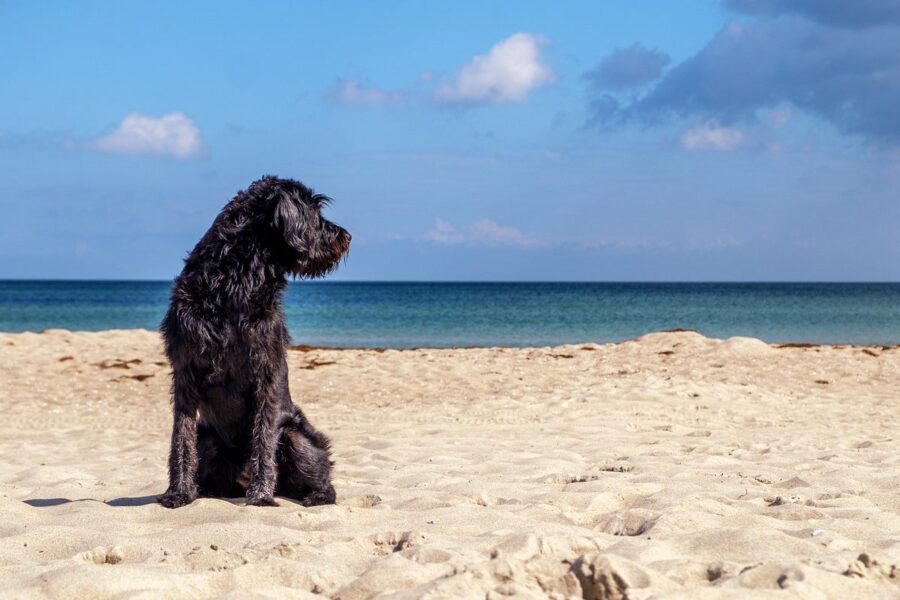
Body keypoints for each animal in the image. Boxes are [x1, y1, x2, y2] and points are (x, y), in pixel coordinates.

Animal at [158, 176, 348, 508]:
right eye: (314, 212)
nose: (346, 237)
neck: (235, 281)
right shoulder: (185, 373)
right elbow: (180, 438)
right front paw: (178, 492)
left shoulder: (265, 372)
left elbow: (263, 437)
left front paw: (261, 495)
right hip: (208, 437)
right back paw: (203, 490)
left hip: (296, 436)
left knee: (324, 480)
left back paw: (314, 494)